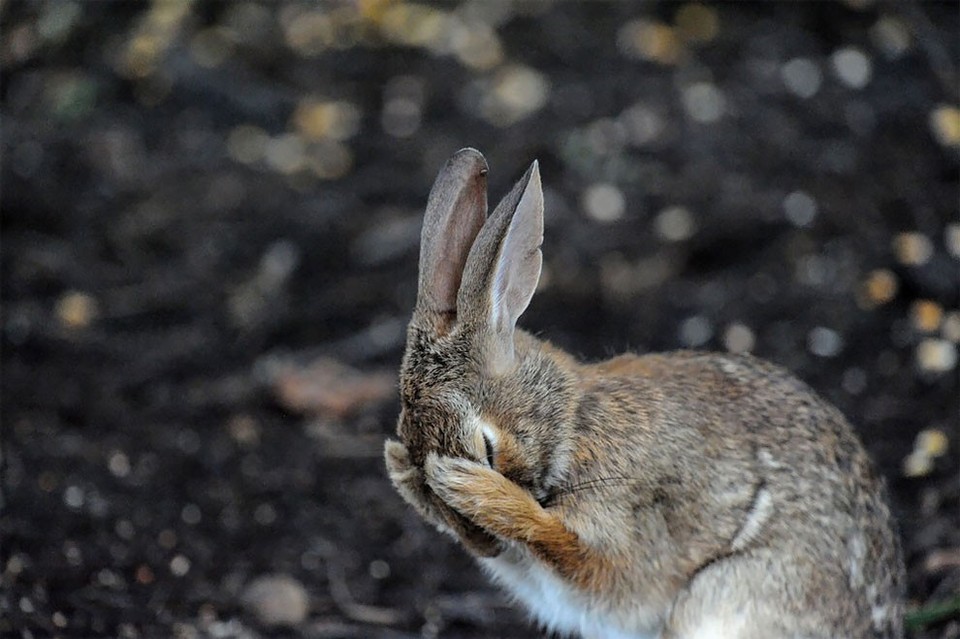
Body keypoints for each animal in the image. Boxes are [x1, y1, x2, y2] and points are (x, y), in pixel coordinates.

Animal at [384, 149, 908, 639]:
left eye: (486, 448)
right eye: (422, 488)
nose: (485, 546)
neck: (571, 424)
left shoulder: (625, 527)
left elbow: (578, 553)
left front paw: (474, 489)